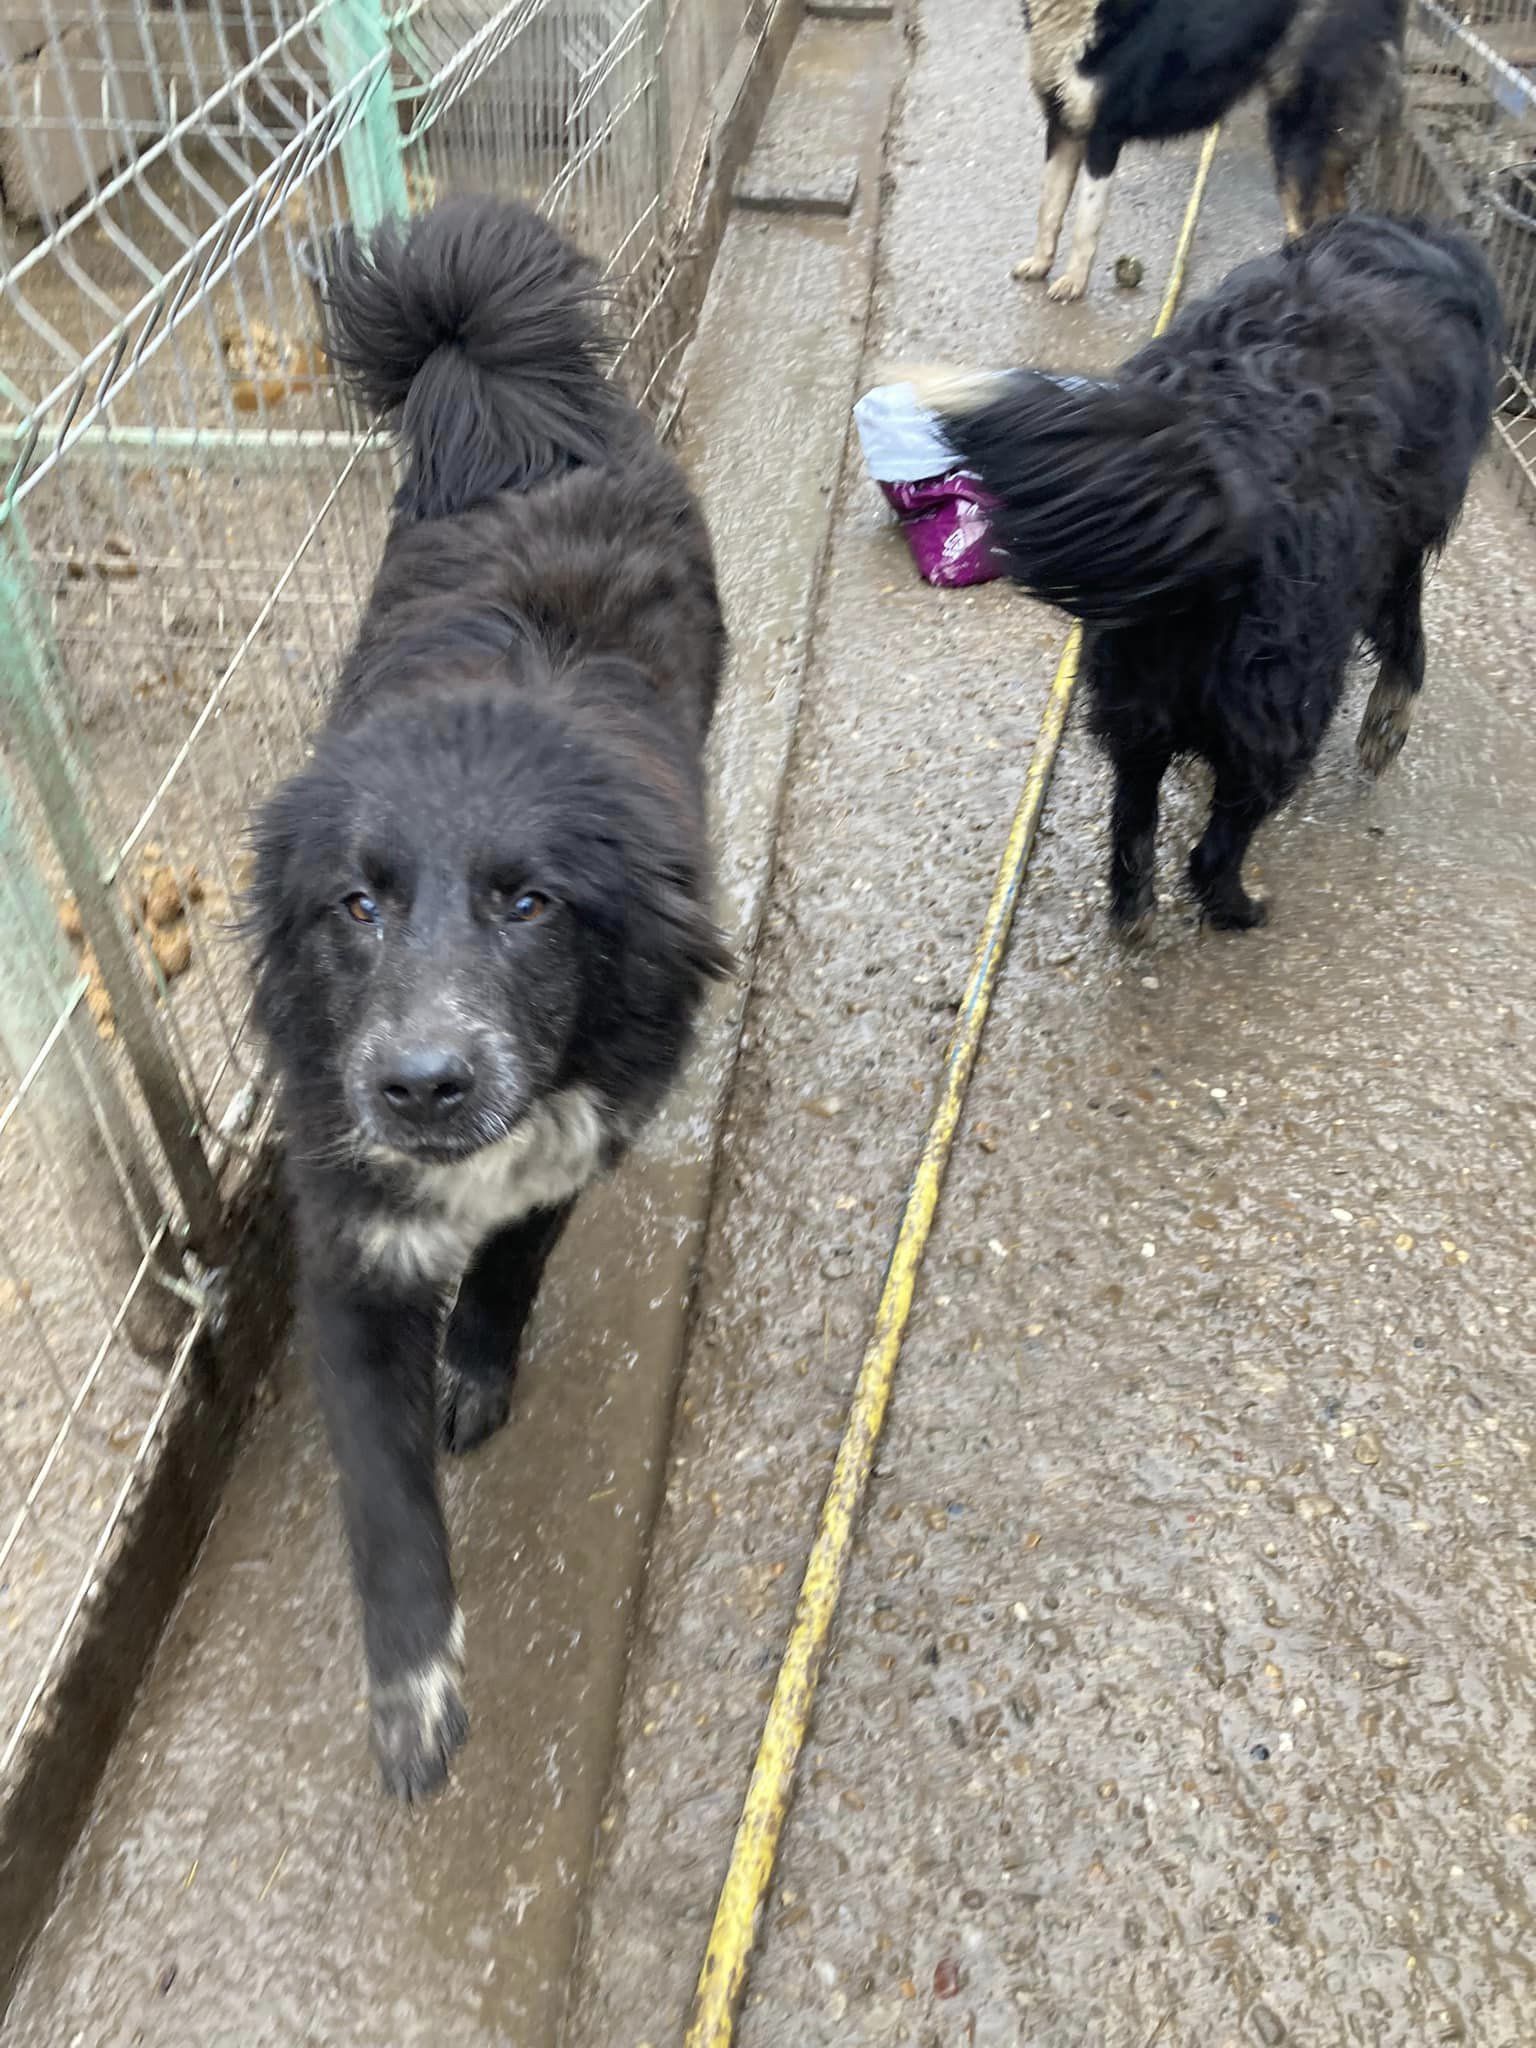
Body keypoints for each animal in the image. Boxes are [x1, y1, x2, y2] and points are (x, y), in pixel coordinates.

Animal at [249, 197, 729, 1799]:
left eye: (531, 905)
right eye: (357, 905)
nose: (417, 1086)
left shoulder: (575, 1138)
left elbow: (511, 1270)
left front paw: (477, 1367)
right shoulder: (346, 1238)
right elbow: (385, 1498)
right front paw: (413, 1691)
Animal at [922, 213, 1501, 933]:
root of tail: (1238, 456)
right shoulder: (1401, 545)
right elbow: (1406, 638)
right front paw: (1387, 726)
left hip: (1137, 677)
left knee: (1134, 802)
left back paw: (1134, 906)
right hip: (1287, 695)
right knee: (1219, 841)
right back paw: (1239, 907)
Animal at [1017, 0, 1406, 301]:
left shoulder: (1104, 135)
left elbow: (1086, 219)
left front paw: (1073, 282)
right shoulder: (1062, 126)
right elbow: (1049, 208)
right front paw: (1040, 264)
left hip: (1294, 130)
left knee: (1305, 222)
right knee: (1335, 208)